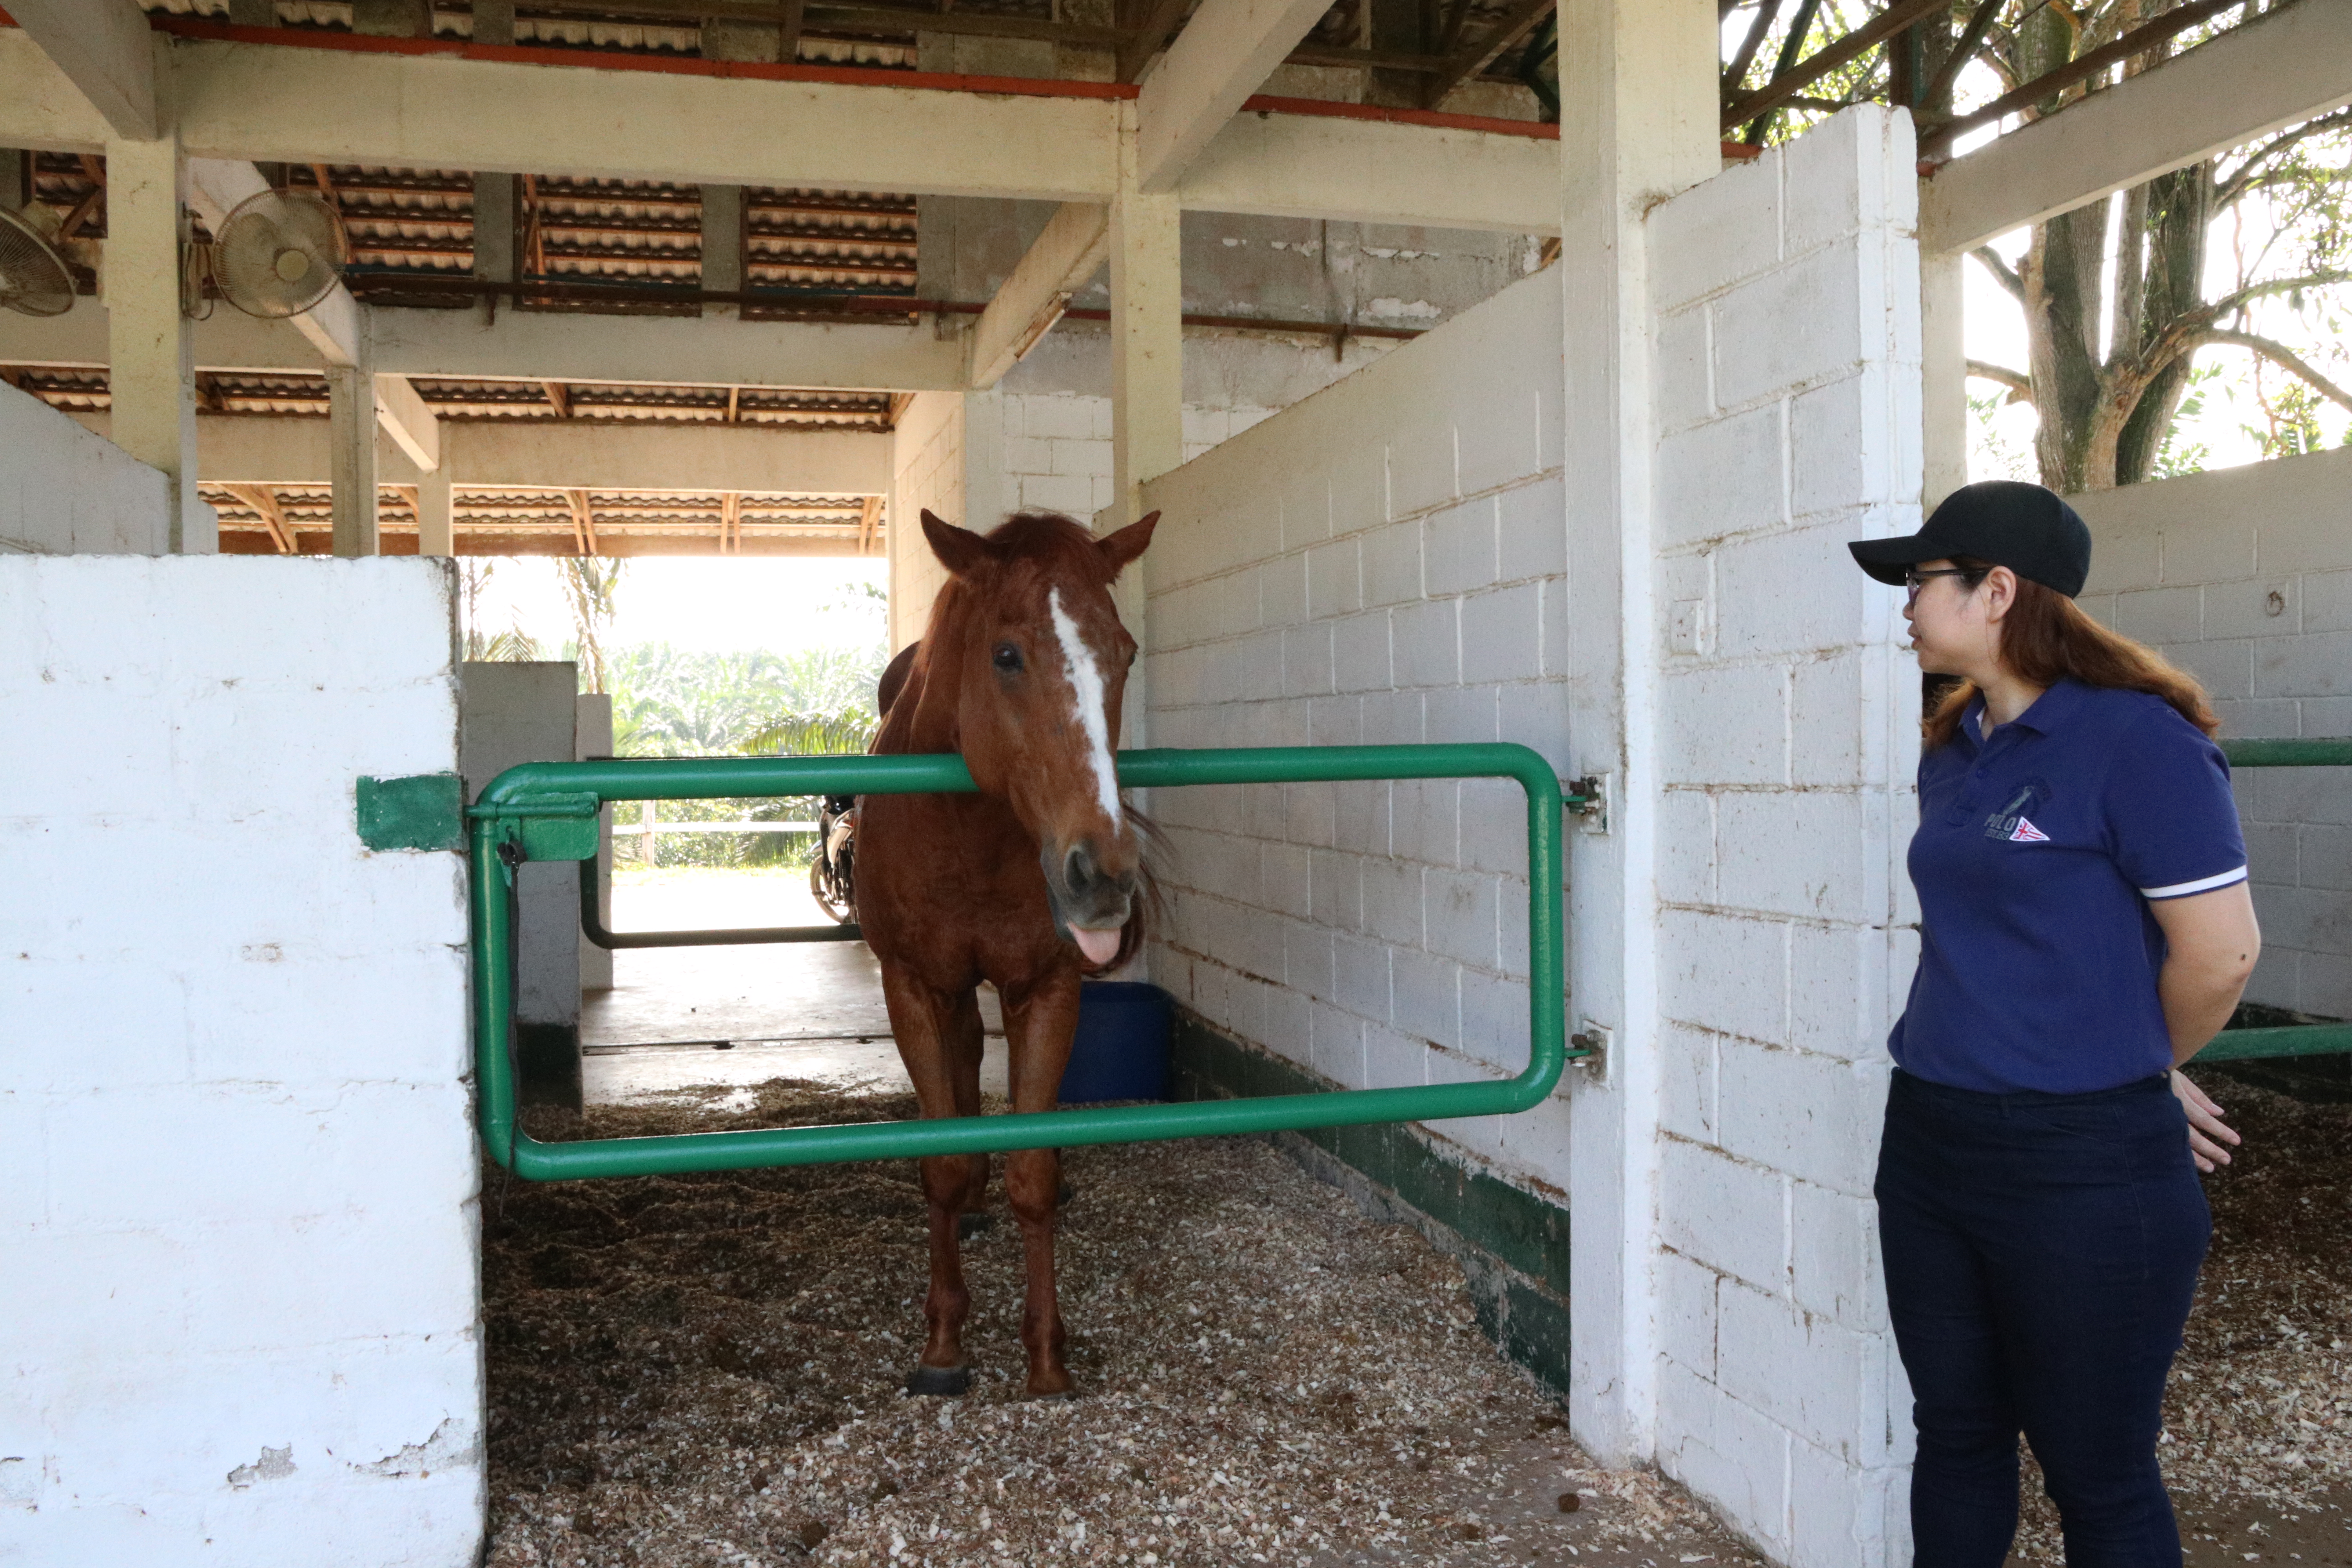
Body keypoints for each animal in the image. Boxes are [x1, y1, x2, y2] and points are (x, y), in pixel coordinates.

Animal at [854, 506, 1159, 1400]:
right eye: (1006, 655)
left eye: (1125, 653)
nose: (1104, 876)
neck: (971, 834)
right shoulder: (914, 989)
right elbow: (942, 1164)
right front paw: (944, 1345)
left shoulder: (1045, 990)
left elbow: (1034, 1175)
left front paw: (1047, 1356)